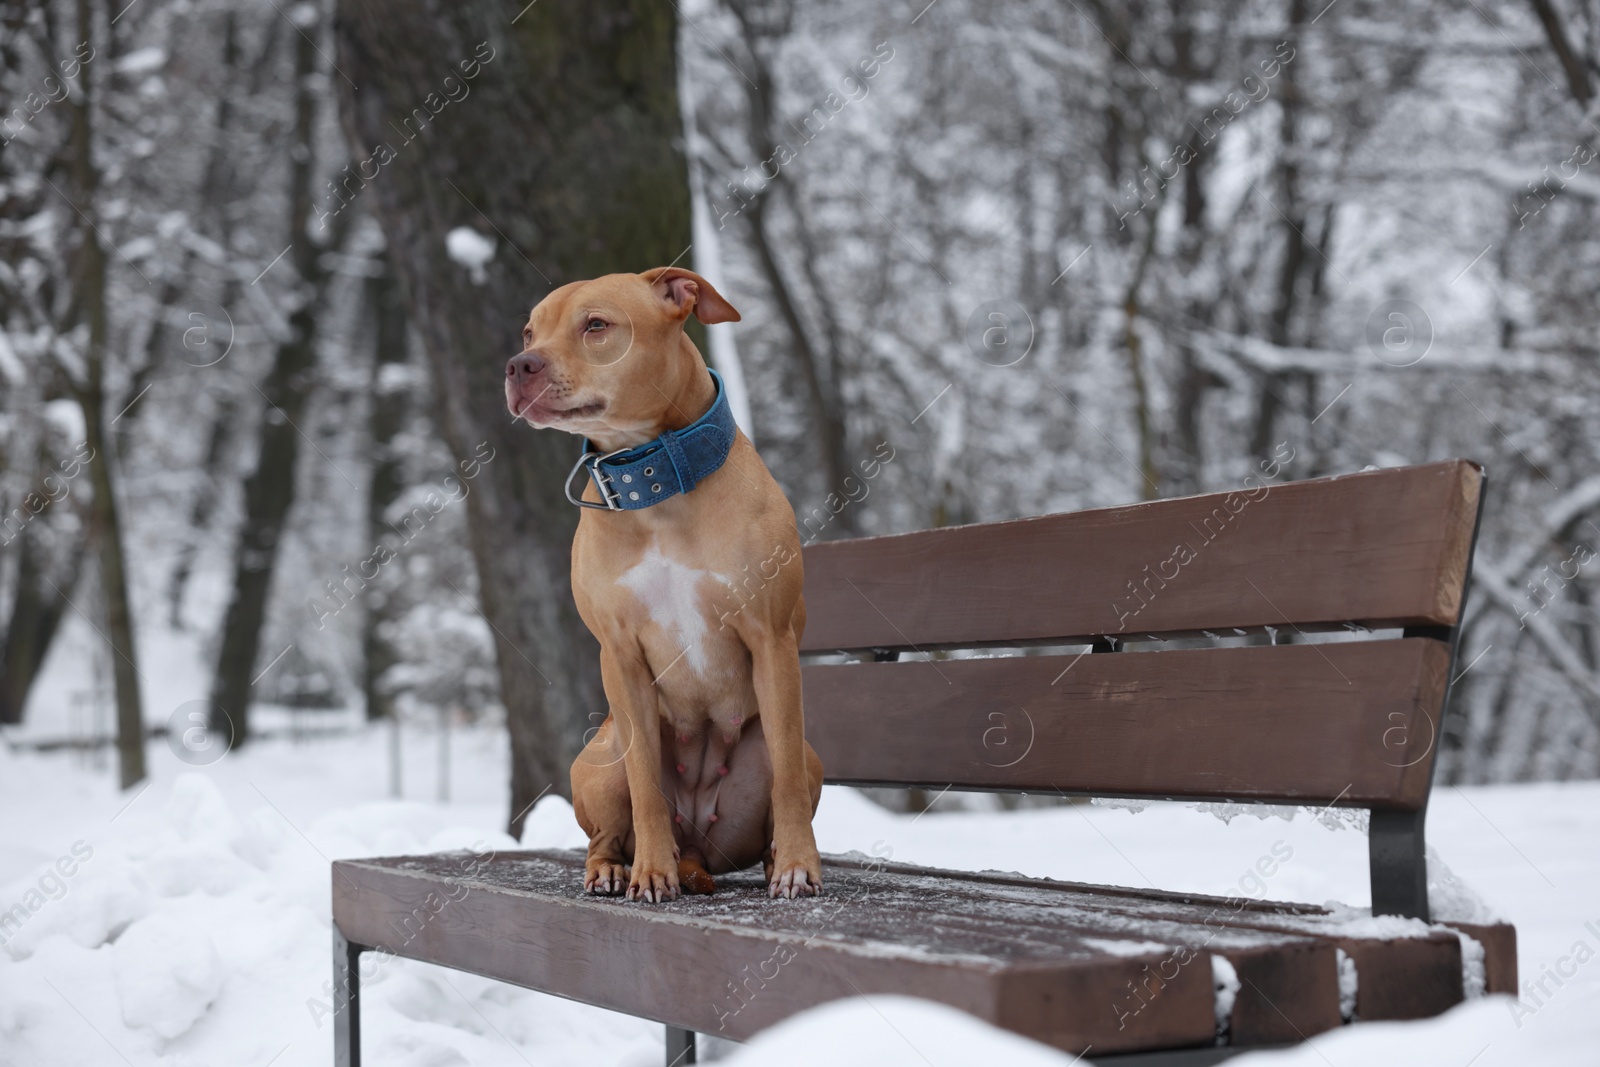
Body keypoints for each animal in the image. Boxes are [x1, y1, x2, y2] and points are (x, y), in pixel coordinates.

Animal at [502, 265, 825, 902]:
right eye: (529, 332)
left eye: (595, 325)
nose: (519, 364)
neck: (655, 485)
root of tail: (699, 846)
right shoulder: (620, 655)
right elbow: (645, 785)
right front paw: (652, 870)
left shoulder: (770, 638)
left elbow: (788, 785)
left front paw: (800, 864)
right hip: (598, 760)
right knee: (607, 830)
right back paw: (613, 869)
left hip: (806, 753)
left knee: (785, 776)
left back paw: (772, 860)